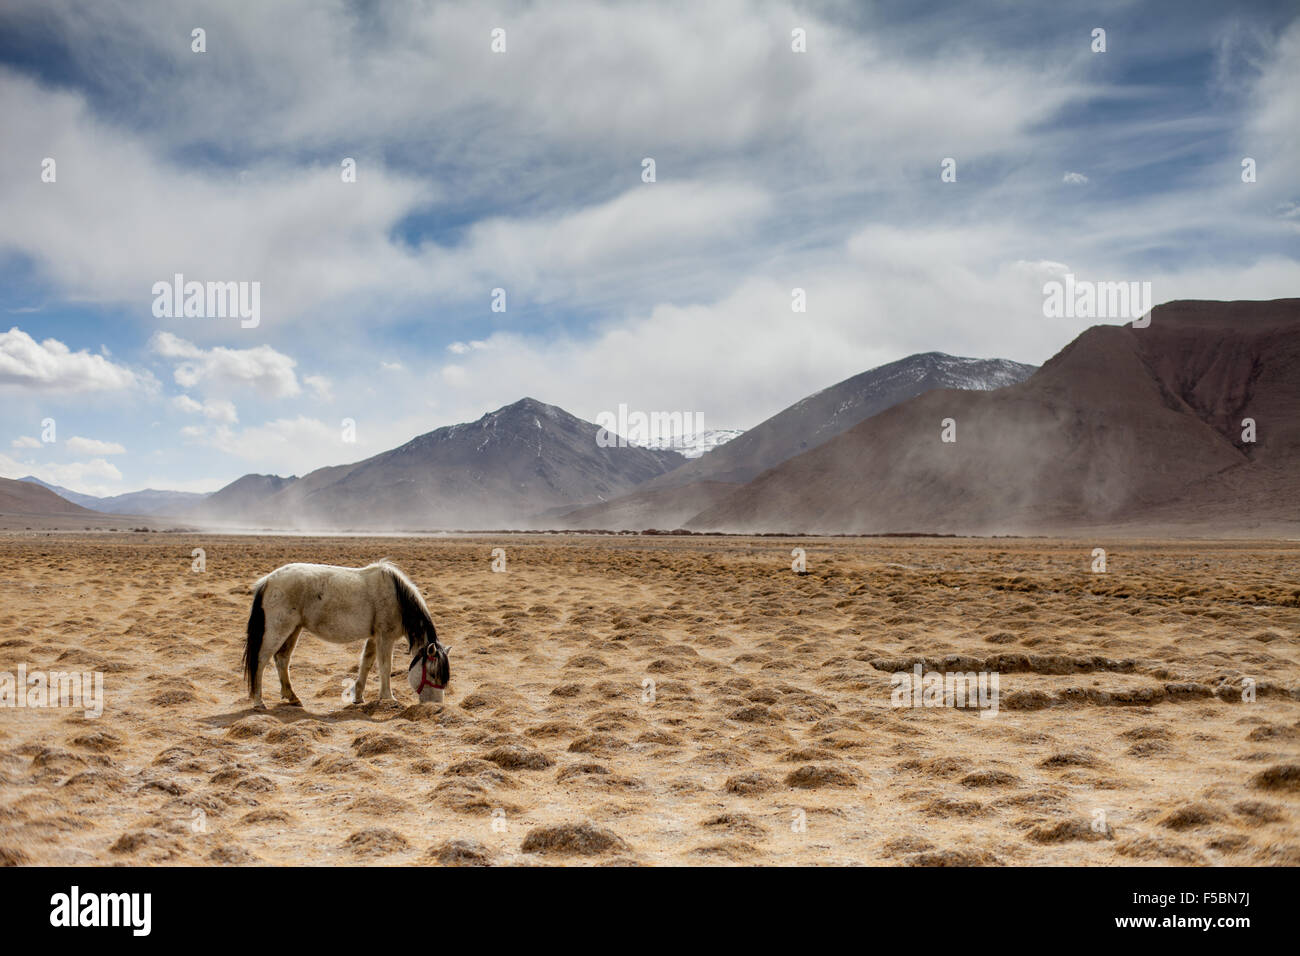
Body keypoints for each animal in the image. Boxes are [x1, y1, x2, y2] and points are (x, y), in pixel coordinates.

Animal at [242, 559, 450, 710]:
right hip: (278, 629)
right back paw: (259, 701)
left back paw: (293, 698)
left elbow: (366, 664)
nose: (435, 706)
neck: (397, 597)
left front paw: (358, 697)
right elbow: (384, 667)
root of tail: (267, 581)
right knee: (261, 660)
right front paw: (388, 698)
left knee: (282, 659)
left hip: (294, 629)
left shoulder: (374, 637)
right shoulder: (385, 637)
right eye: (433, 674)